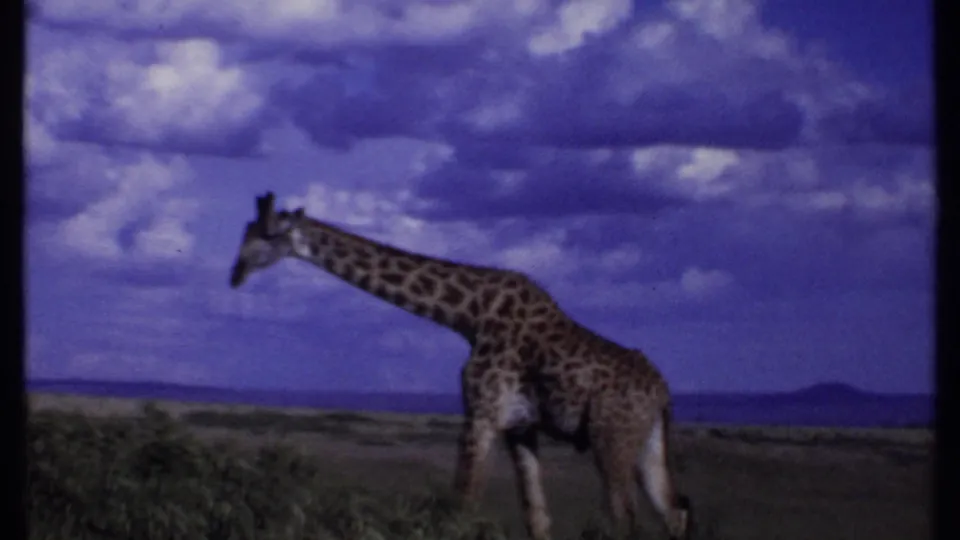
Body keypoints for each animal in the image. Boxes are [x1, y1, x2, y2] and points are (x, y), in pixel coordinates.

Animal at [229, 192, 693, 540]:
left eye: (264, 237)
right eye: (244, 233)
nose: (235, 274)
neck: (469, 316)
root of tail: (663, 392)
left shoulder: (481, 413)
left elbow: (462, 506)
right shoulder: (519, 427)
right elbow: (537, 519)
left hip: (610, 438)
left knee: (624, 516)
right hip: (648, 440)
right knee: (673, 511)